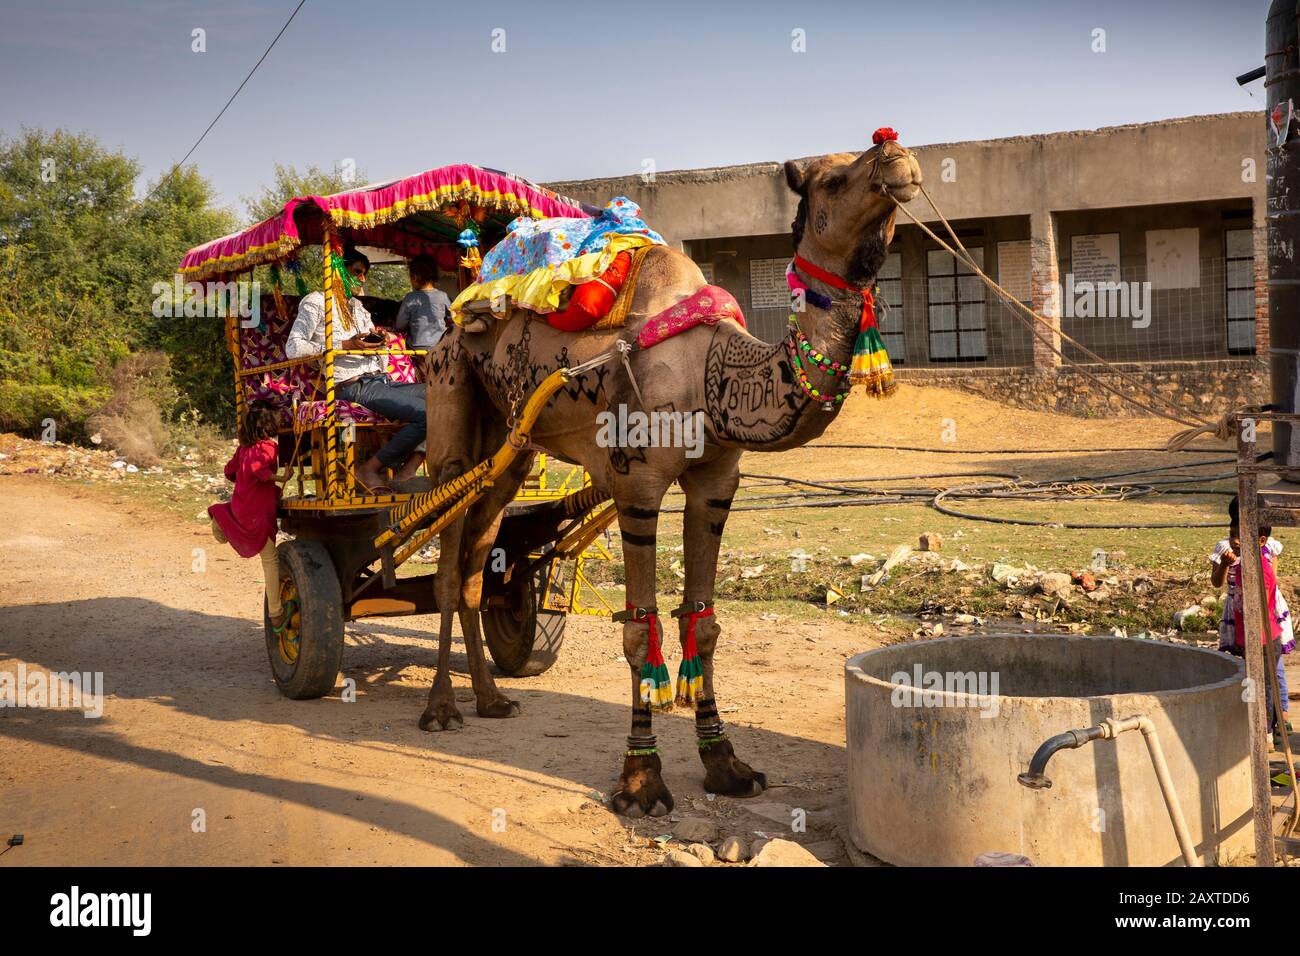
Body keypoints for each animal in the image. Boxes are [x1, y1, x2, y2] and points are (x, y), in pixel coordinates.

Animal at [421, 138, 920, 816]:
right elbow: (641, 631)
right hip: (449, 394)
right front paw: (641, 781)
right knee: (448, 558)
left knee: (480, 548)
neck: (713, 371)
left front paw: (726, 764)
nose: (898, 156)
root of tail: (459, 311)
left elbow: (702, 623)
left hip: (510, 444)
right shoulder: (637, 484)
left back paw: (493, 699)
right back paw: (442, 709)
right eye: (835, 180)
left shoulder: (715, 482)